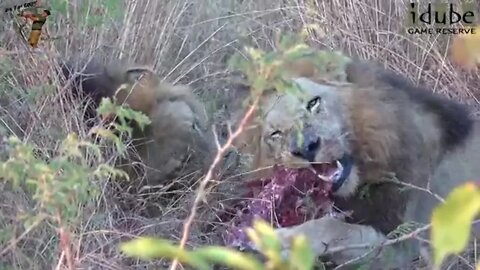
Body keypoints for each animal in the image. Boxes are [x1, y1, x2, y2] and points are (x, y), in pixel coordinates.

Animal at [232, 60, 480, 268]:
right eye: (275, 134)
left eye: (313, 103)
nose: (306, 148)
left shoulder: (410, 248)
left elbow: (333, 227)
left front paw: (274, 241)